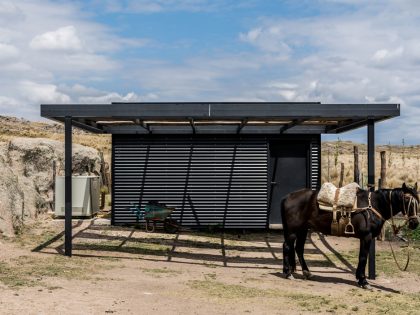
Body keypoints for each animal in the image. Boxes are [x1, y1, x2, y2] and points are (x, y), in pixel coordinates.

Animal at [280, 183, 418, 288]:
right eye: (407, 199)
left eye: (418, 201)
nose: (415, 223)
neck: (373, 206)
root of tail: (288, 197)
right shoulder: (366, 237)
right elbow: (363, 257)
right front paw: (363, 281)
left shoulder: (365, 238)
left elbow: (362, 257)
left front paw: (359, 278)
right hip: (293, 231)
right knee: (287, 247)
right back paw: (288, 273)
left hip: (303, 230)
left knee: (299, 249)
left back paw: (306, 273)